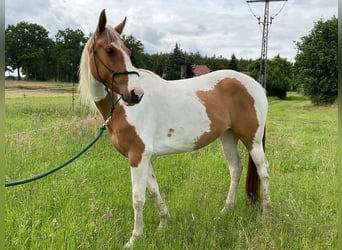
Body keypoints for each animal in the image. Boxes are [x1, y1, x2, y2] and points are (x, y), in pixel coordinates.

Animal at [79, 9, 272, 248]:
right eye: (109, 50)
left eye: (128, 51)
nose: (136, 94)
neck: (121, 107)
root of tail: (257, 86)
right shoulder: (143, 157)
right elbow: (154, 190)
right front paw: (164, 224)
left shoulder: (137, 155)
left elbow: (138, 198)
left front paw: (134, 238)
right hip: (228, 137)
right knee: (236, 169)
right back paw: (226, 210)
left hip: (252, 139)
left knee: (263, 171)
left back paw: (266, 215)